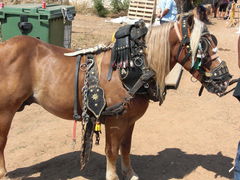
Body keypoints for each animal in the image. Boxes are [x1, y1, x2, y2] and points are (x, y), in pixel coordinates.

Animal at [0, 14, 232, 180]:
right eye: (202, 46)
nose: (226, 78)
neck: (133, 68)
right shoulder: (115, 122)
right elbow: (111, 151)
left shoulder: (129, 121)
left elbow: (126, 148)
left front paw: (130, 173)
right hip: (6, 111)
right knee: (2, 141)